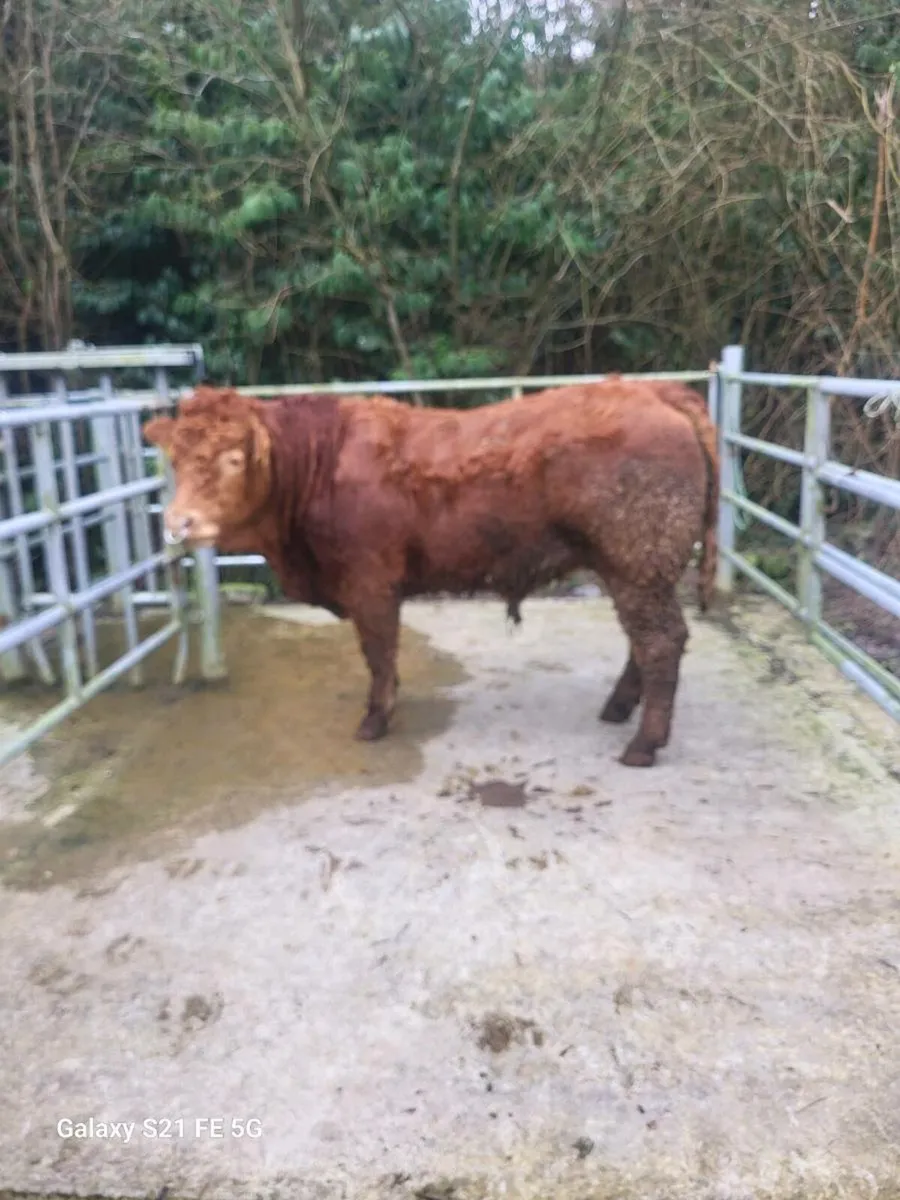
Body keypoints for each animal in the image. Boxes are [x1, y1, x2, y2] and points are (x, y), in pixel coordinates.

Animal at [144, 378, 719, 767]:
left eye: (235, 458)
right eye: (175, 458)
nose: (178, 522)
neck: (317, 465)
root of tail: (653, 388)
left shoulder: (371, 583)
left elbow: (378, 654)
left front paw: (375, 719)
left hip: (637, 563)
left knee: (661, 642)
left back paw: (643, 744)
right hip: (630, 569)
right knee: (643, 641)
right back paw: (618, 709)